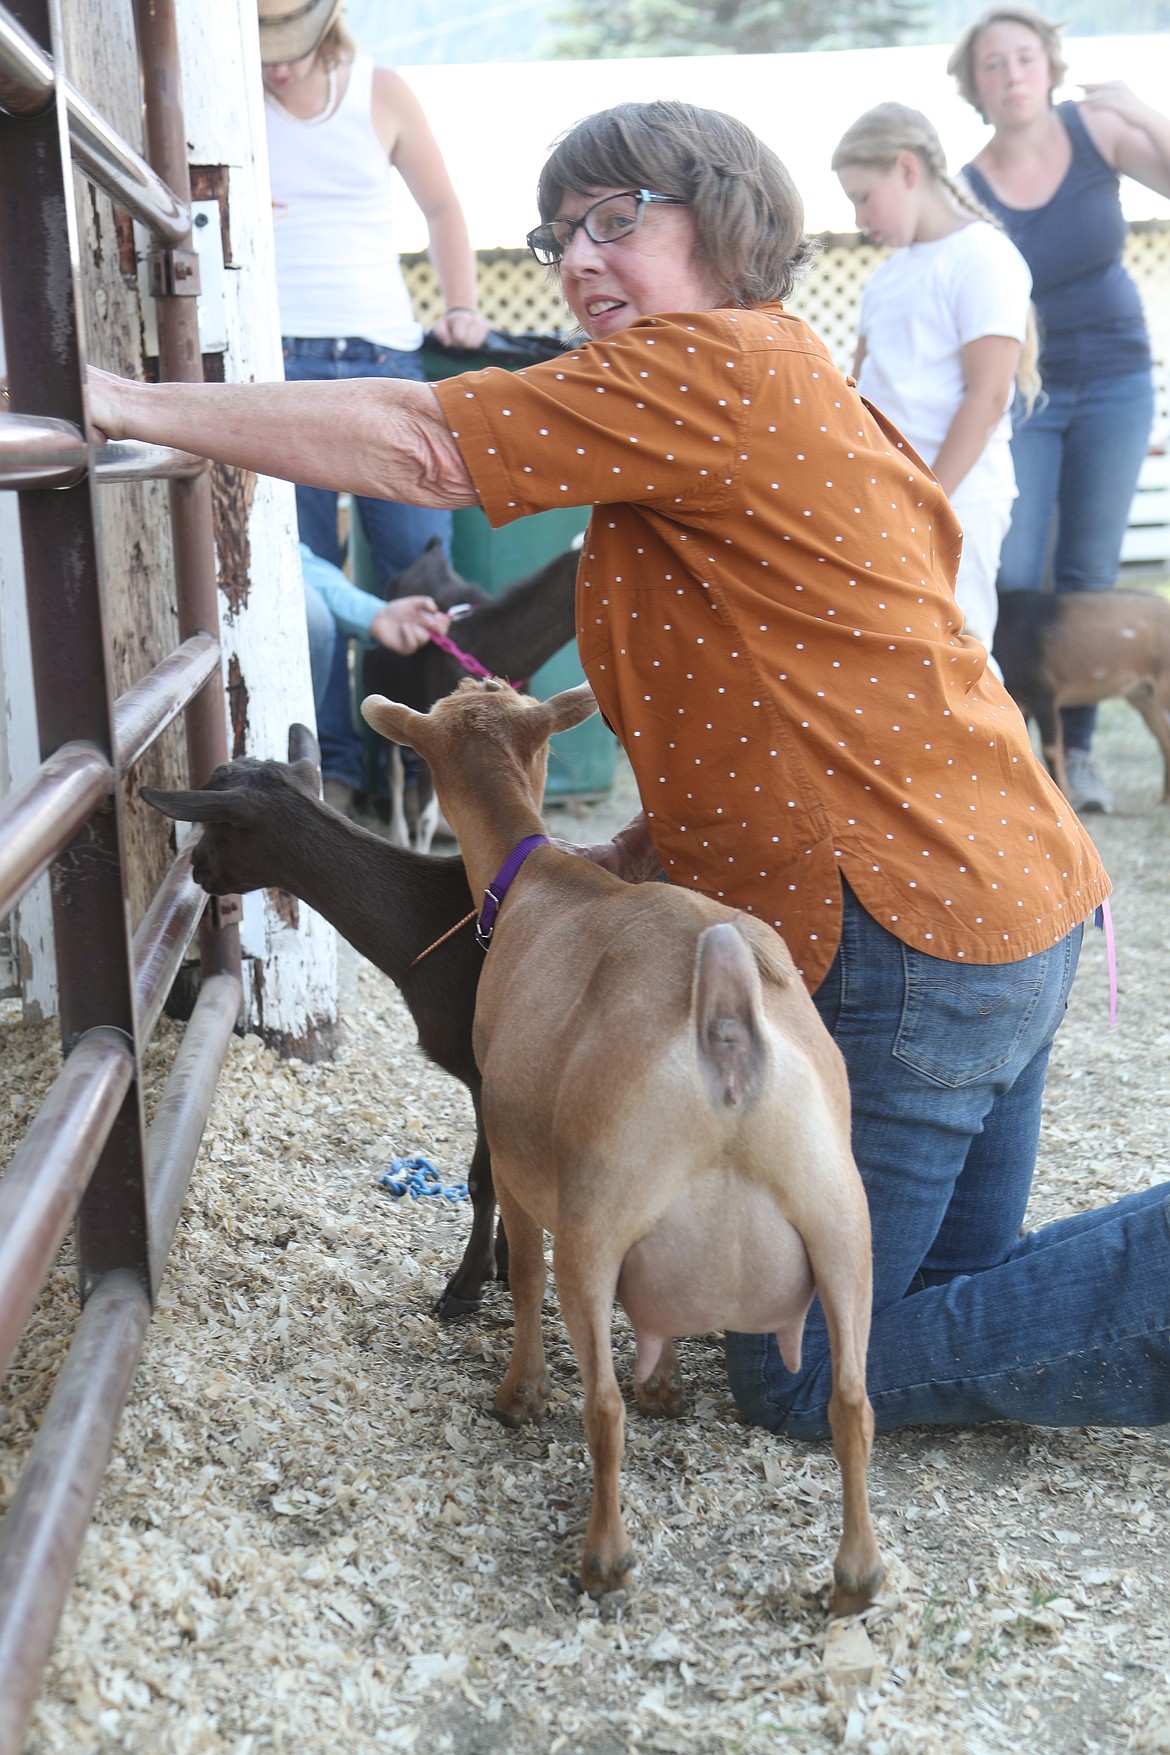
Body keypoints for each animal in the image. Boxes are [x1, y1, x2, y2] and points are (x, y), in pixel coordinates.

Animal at [142, 723, 498, 1319]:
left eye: (215, 824)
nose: (195, 869)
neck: (433, 919)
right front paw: (506, 1269)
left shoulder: (489, 1068)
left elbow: (485, 1179)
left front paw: (465, 1289)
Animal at [361, 677, 884, 1607]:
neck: (536, 873)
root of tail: (726, 1018)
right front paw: (666, 1386)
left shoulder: (515, 1155)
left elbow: (521, 1270)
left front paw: (519, 1391)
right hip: (839, 1217)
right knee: (853, 1403)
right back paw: (856, 1577)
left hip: (599, 1210)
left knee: (599, 1401)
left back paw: (604, 1554)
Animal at [996, 589, 1170, 807]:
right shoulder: (1018, 699)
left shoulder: (1043, 694)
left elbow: (1050, 749)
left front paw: (1065, 796)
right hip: (1144, 696)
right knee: (1164, 739)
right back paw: (1165, 798)